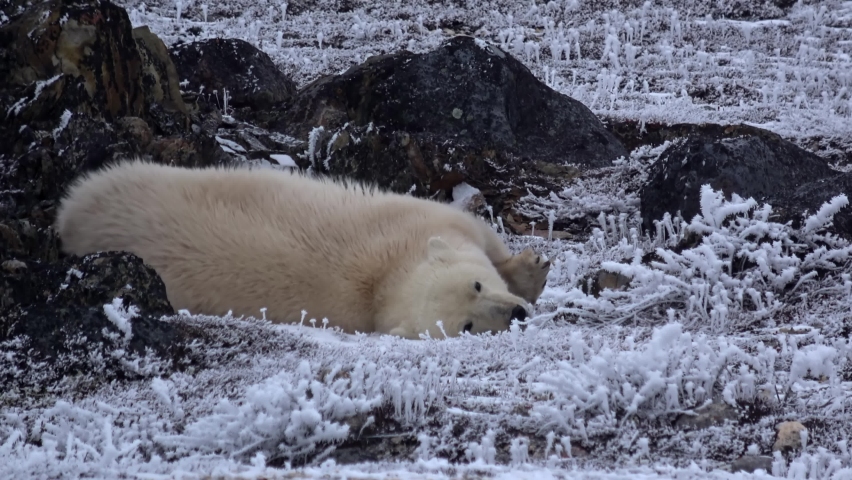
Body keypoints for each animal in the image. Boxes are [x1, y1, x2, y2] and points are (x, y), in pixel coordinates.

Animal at [55, 160, 549, 339]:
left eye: (477, 283)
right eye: (466, 326)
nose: (515, 315)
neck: (383, 278)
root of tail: (69, 219)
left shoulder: (427, 219)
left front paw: (532, 265)